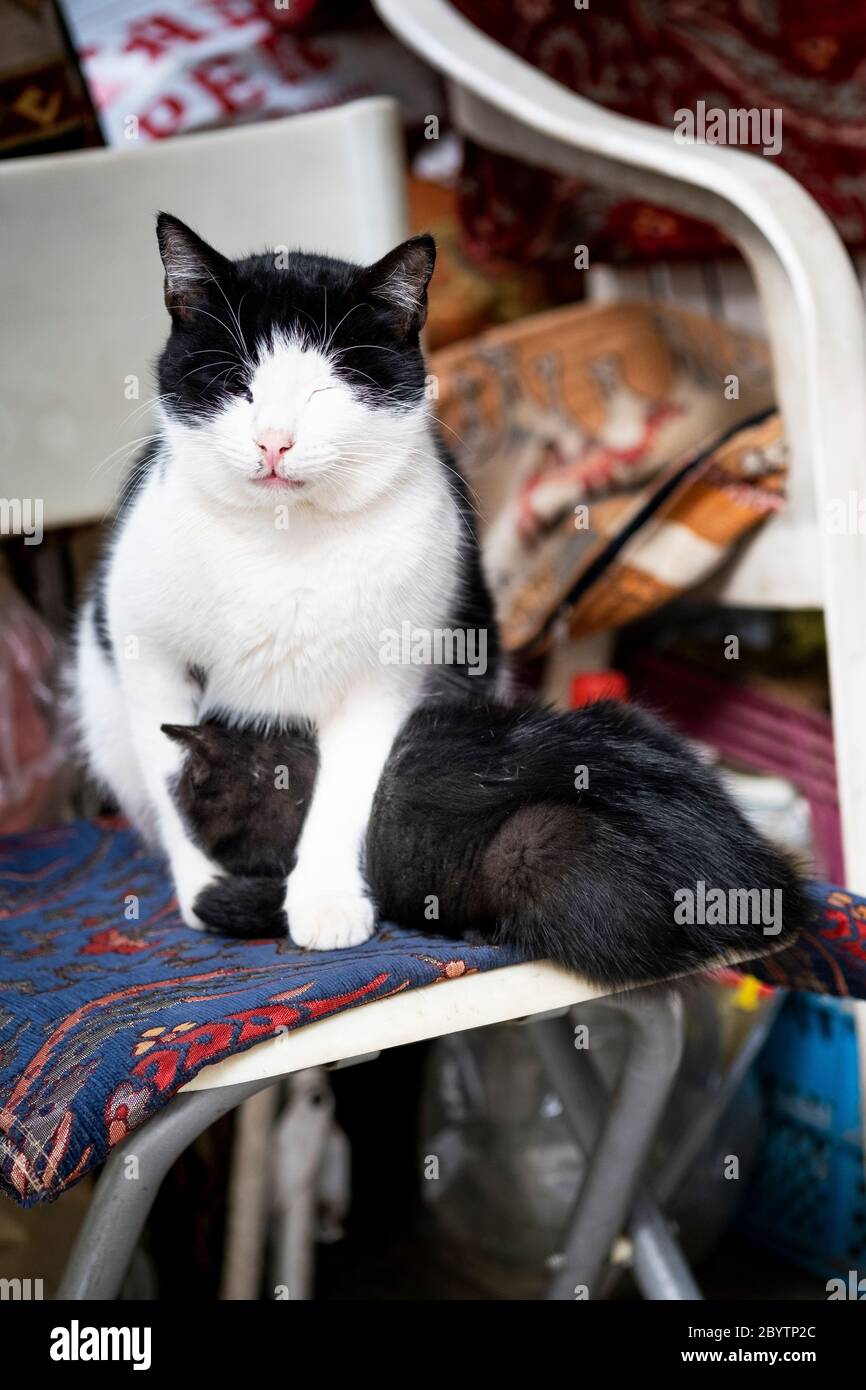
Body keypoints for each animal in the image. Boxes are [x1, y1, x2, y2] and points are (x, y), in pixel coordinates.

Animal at [72, 216, 494, 950]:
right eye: (237, 383)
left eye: (325, 392)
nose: (273, 442)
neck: (281, 538)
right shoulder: (145, 653)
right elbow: (175, 781)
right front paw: (210, 890)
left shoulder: (384, 677)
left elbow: (343, 792)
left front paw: (325, 902)